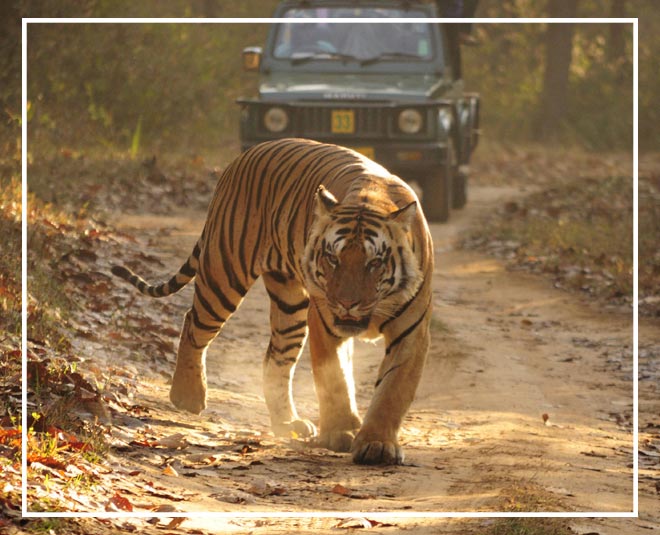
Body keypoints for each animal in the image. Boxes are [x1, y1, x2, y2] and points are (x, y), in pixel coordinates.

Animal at [111, 138, 434, 465]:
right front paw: (340, 432)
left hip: (289, 306)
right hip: (224, 273)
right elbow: (335, 380)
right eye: (333, 259)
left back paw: (287, 422)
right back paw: (187, 395)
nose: (346, 303)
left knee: (275, 359)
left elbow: (393, 390)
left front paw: (376, 443)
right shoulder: (325, 322)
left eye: (374, 263)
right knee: (194, 323)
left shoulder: (411, 332)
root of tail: (245, 154)